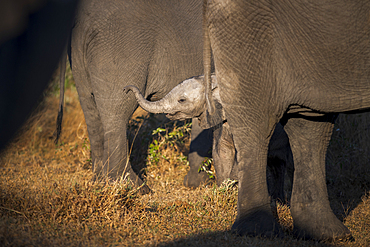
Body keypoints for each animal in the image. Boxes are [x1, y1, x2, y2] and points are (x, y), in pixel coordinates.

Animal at [59, 0, 212, 192]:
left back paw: (98, 182)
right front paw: (207, 183)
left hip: (80, 54)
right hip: (120, 47)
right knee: (117, 114)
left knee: (91, 109)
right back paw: (133, 188)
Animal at [123, 75, 292, 203]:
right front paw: (224, 191)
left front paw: (231, 187)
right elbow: (221, 152)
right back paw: (277, 200)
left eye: (182, 100)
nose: (126, 89)